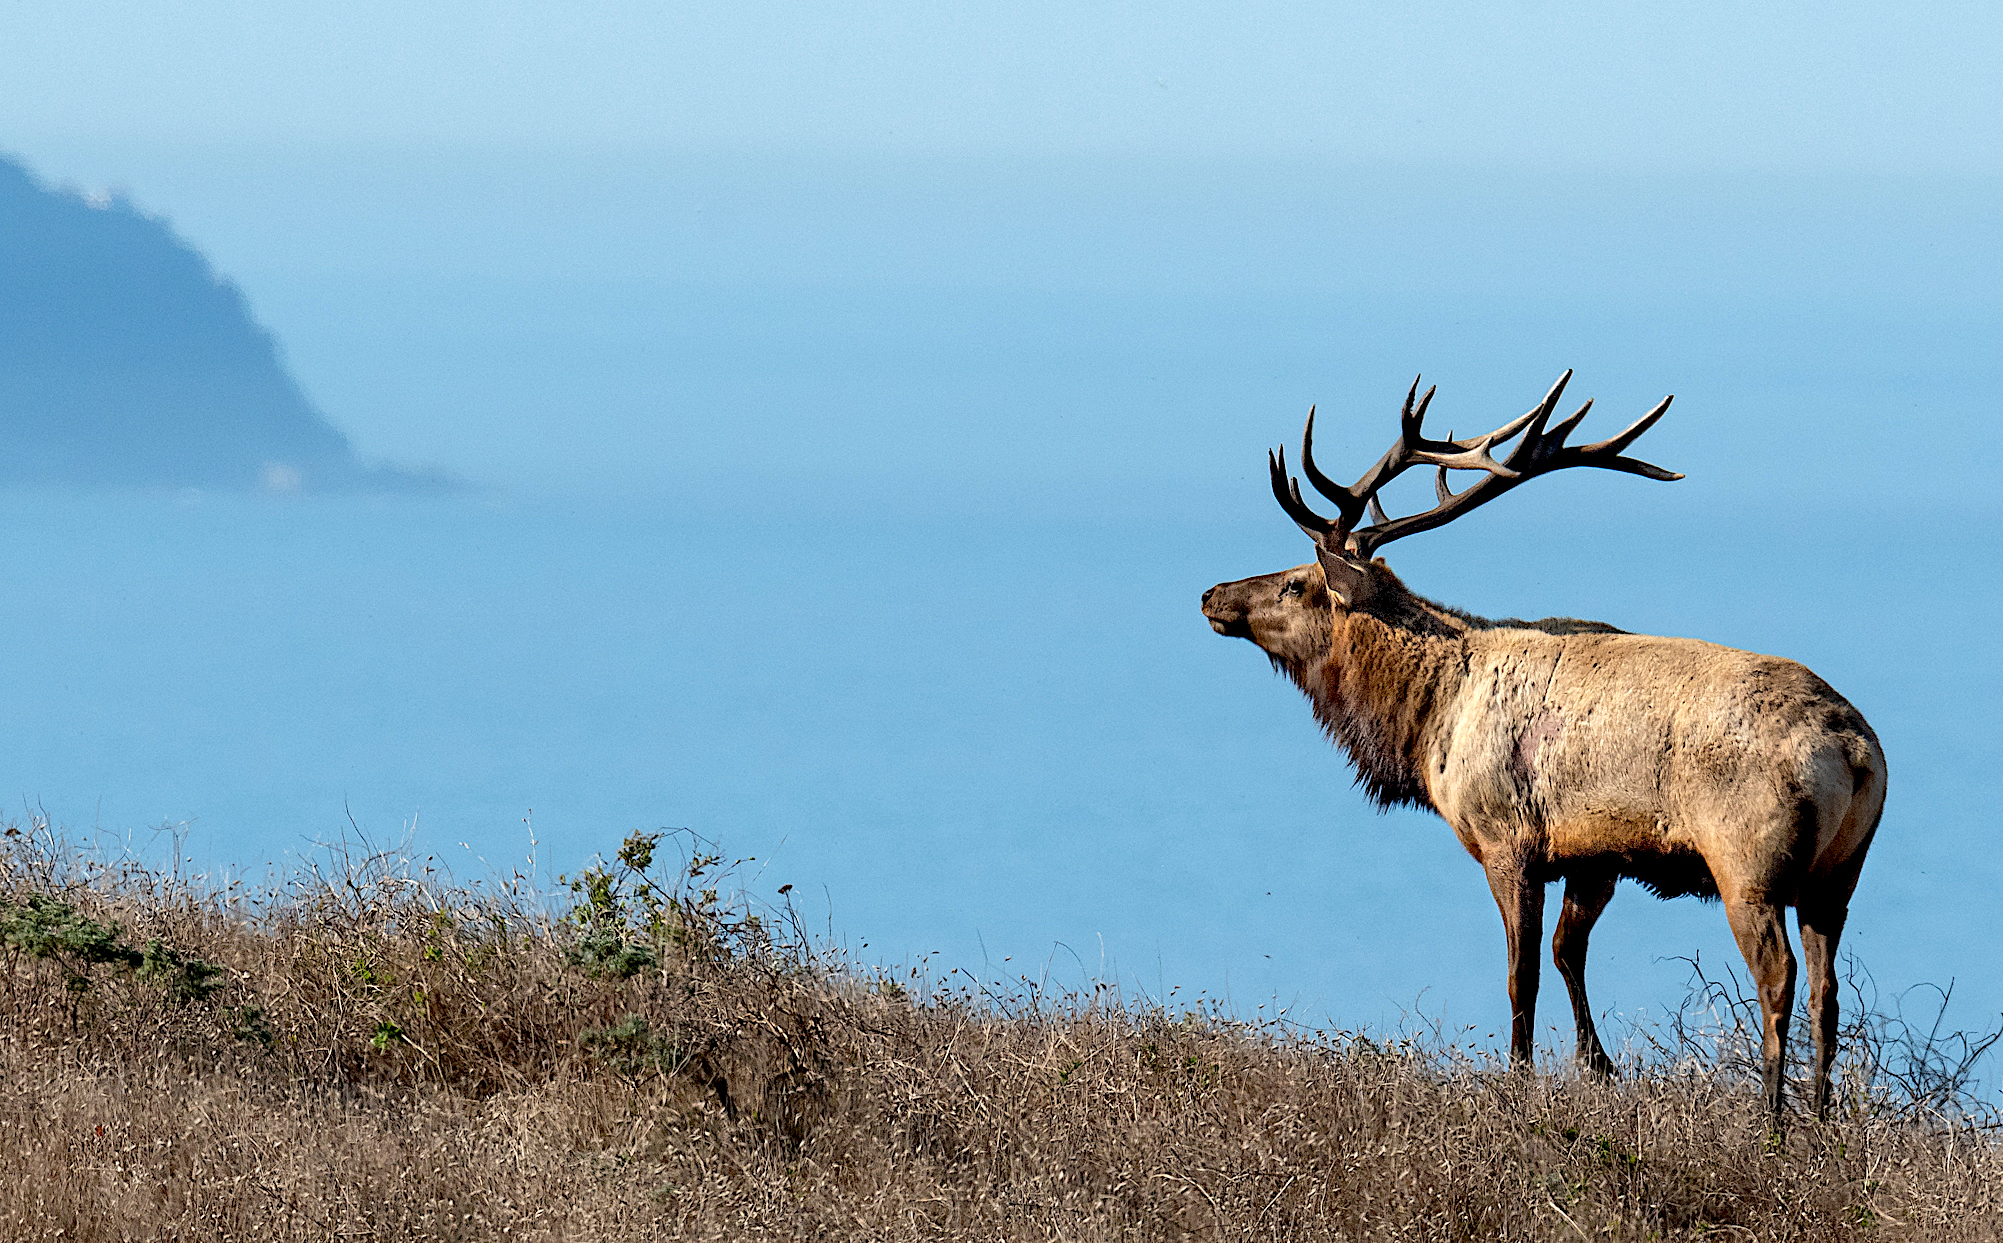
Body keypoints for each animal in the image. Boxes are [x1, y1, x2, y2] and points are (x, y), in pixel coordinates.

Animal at [1200, 372, 1885, 1123]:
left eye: (1295, 581)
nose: (1211, 593)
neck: (1427, 722)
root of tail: (1855, 751)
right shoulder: (1596, 854)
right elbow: (1566, 952)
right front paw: (1597, 1065)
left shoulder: (1508, 837)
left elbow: (1520, 972)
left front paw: (1519, 1077)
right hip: (1839, 872)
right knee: (1828, 988)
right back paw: (1819, 1116)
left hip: (1749, 862)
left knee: (1779, 976)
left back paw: (1771, 1118)